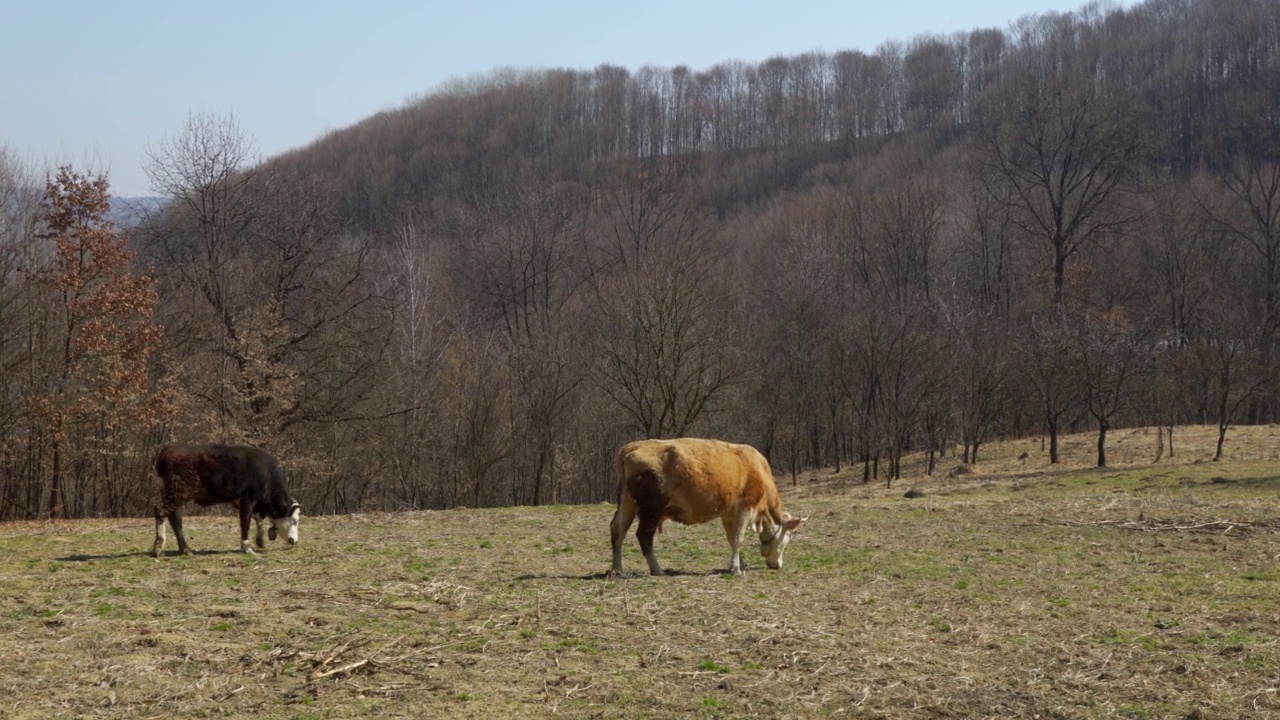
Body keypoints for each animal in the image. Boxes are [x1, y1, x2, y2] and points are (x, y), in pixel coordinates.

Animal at [151, 443, 300, 556]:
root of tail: (169, 449)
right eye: (295, 520)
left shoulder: (241, 502)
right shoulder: (248, 500)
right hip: (179, 492)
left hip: (176, 495)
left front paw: (260, 541)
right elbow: (245, 522)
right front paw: (247, 548)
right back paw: (159, 546)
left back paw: (185, 549)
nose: (295, 541)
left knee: (175, 519)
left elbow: (257, 518)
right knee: (160, 511)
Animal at [606, 435, 798, 573]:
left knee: (618, 529)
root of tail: (633, 447)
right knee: (644, 536)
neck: (758, 469)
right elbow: (738, 538)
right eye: (787, 538)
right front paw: (736, 568)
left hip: (627, 503)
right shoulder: (745, 509)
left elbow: (731, 538)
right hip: (650, 510)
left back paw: (618, 569)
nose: (778, 565)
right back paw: (657, 569)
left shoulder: (728, 514)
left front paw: (738, 564)